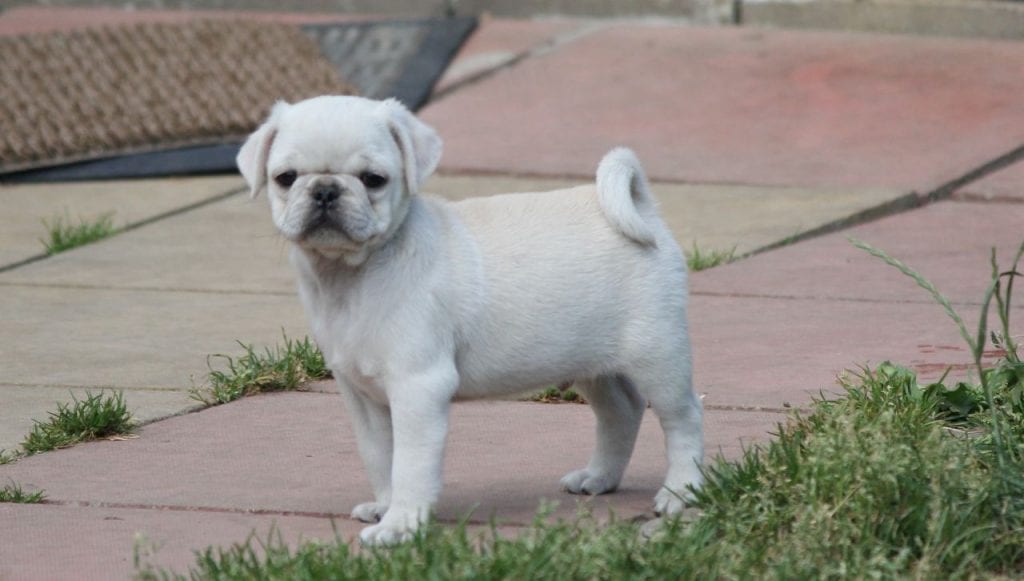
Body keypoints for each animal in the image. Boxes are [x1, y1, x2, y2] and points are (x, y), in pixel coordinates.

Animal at [237, 95, 704, 545]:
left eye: (373, 179)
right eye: (286, 178)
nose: (325, 191)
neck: (350, 275)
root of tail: (643, 205)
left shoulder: (418, 387)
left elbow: (409, 465)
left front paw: (401, 526)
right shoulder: (363, 398)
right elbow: (380, 457)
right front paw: (386, 507)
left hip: (657, 356)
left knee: (683, 419)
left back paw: (681, 492)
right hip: (590, 360)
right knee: (621, 411)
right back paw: (599, 477)